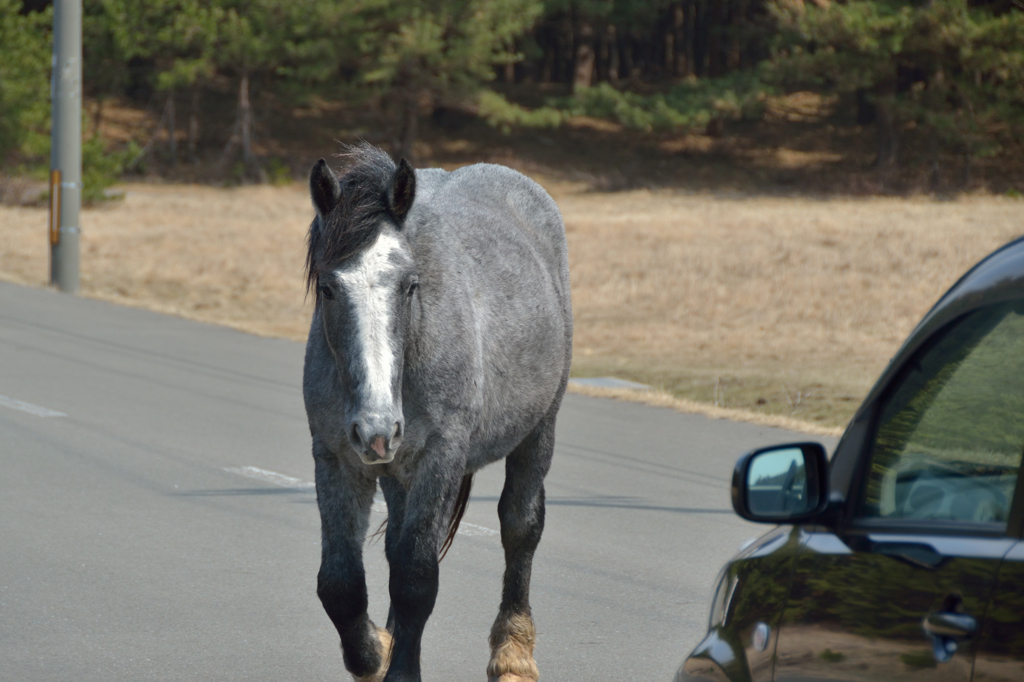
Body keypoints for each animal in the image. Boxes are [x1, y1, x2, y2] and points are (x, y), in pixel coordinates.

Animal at [303, 144, 573, 679]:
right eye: (328, 287)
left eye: (409, 285)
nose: (378, 430)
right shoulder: (339, 458)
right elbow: (341, 584)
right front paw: (376, 652)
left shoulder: (439, 457)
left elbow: (416, 578)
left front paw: (400, 668)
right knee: (393, 545)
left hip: (539, 430)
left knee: (520, 525)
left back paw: (514, 653)